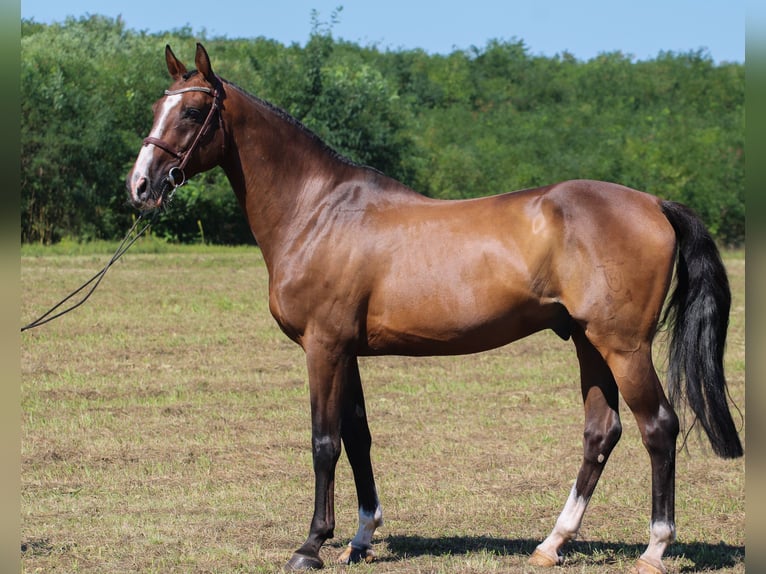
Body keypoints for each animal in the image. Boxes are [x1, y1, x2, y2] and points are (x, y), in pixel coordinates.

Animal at [126, 44, 744, 572]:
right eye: (158, 106)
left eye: (194, 111)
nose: (141, 187)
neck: (318, 210)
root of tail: (654, 203)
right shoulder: (347, 351)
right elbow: (358, 437)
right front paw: (360, 538)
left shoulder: (323, 347)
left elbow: (324, 442)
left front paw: (310, 545)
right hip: (589, 343)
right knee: (602, 432)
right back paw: (552, 543)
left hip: (623, 346)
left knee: (657, 427)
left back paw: (655, 547)